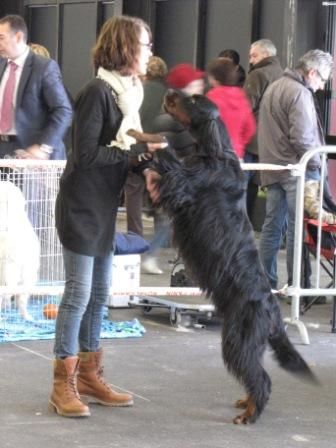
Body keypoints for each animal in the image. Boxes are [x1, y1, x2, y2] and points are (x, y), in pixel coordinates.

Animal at [148, 90, 316, 424]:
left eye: (193, 100)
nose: (170, 93)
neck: (215, 152)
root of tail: (274, 312)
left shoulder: (183, 184)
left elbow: (171, 162)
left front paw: (151, 140)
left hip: (239, 338)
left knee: (260, 377)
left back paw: (250, 414)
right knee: (256, 374)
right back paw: (246, 403)